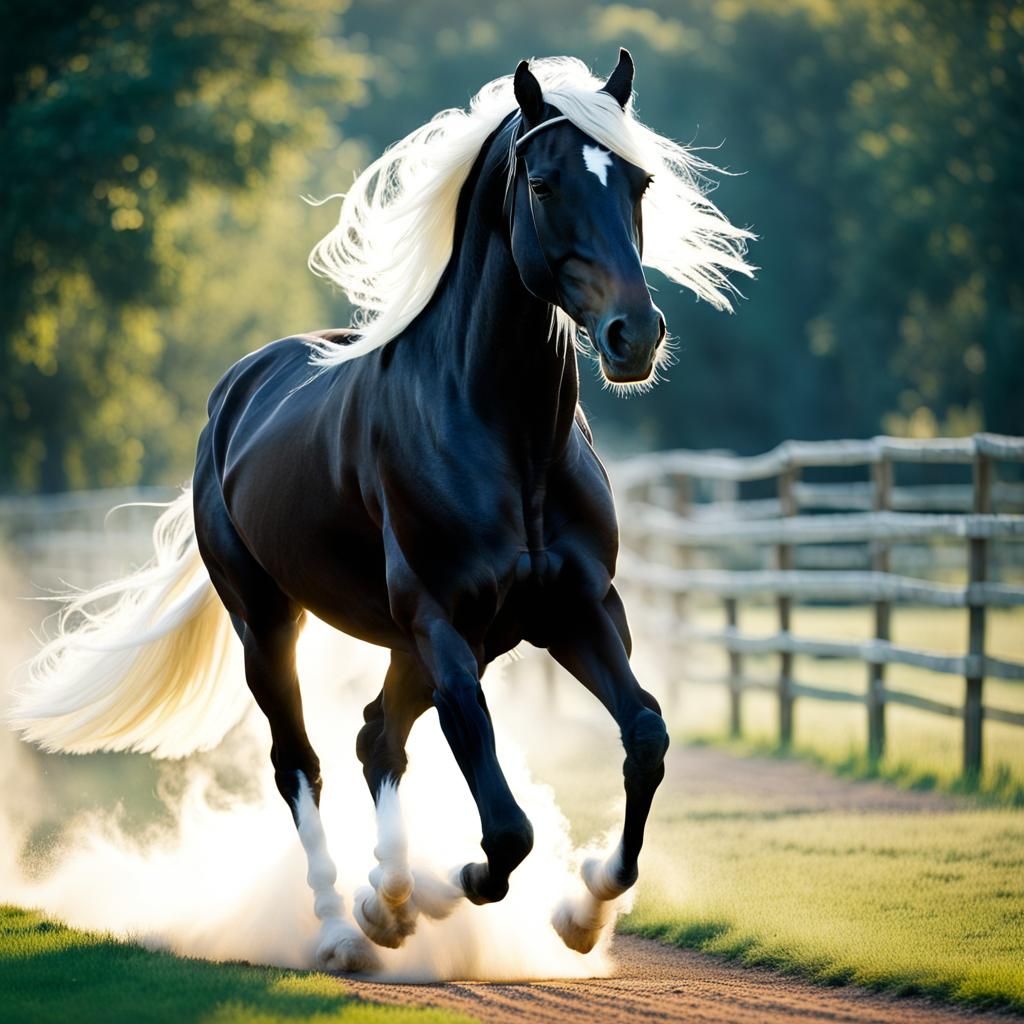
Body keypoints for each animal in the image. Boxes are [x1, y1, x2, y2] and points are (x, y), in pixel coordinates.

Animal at [12, 51, 753, 972]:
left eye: (640, 181)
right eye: (544, 184)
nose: (634, 336)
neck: (506, 439)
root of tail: (235, 394)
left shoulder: (574, 612)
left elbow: (645, 736)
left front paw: (581, 909)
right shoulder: (441, 623)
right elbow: (503, 828)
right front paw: (445, 889)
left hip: (431, 642)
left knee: (375, 737)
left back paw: (388, 900)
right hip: (273, 626)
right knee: (302, 763)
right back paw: (347, 924)